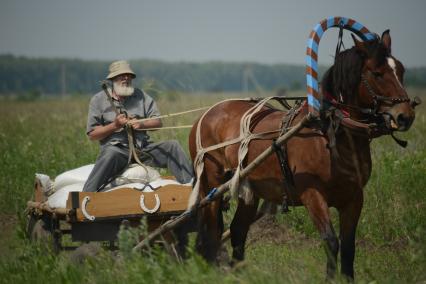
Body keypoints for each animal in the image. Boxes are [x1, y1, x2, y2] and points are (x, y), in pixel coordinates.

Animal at [189, 30, 416, 278]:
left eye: (401, 70)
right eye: (377, 73)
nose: (406, 116)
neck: (329, 132)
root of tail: (207, 114)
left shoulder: (354, 197)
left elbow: (348, 247)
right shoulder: (312, 193)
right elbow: (330, 241)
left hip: (249, 188)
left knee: (238, 229)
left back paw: (239, 273)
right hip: (212, 184)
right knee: (212, 230)